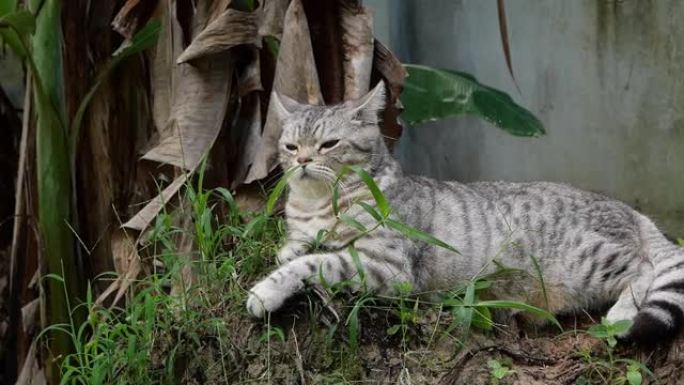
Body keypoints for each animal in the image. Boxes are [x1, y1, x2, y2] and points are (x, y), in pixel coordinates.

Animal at [248, 80, 684, 342]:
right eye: (290, 146)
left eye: (329, 145)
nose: (303, 160)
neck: (316, 204)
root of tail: (629, 209)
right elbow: (296, 250)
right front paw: (293, 250)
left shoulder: (386, 266)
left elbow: (312, 263)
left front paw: (265, 292)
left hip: (590, 259)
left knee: (645, 268)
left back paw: (622, 314)